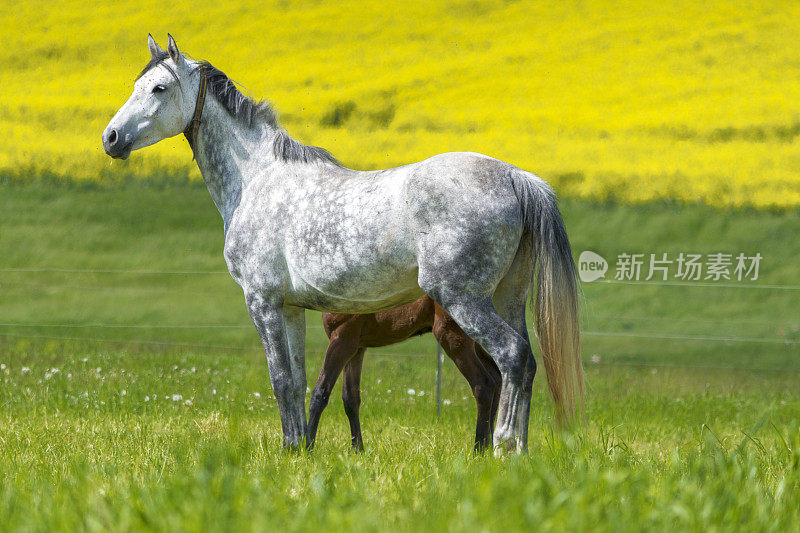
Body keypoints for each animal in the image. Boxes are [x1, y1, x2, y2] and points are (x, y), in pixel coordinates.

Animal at [306, 294, 500, 450]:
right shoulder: (356, 348)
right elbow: (350, 399)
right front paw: (357, 451)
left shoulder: (341, 340)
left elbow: (320, 393)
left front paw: (307, 449)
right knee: (496, 375)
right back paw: (490, 448)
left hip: (453, 338)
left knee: (483, 384)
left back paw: (478, 450)